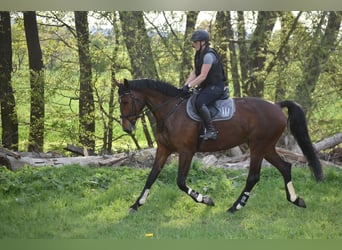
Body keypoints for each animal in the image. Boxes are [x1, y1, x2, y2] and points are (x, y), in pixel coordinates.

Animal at [115, 78, 324, 213]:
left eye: (125, 101)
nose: (126, 128)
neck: (170, 111)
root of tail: (276, 105)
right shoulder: (164, 149)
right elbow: (151, 176)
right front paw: (137, 204)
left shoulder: (186, 151)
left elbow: (181, 182)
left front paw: (206, 200)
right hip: (267, 147)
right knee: (285, 167)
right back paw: (296, 200)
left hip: (258, 147)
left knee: (254, 177)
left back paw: (235, 207)